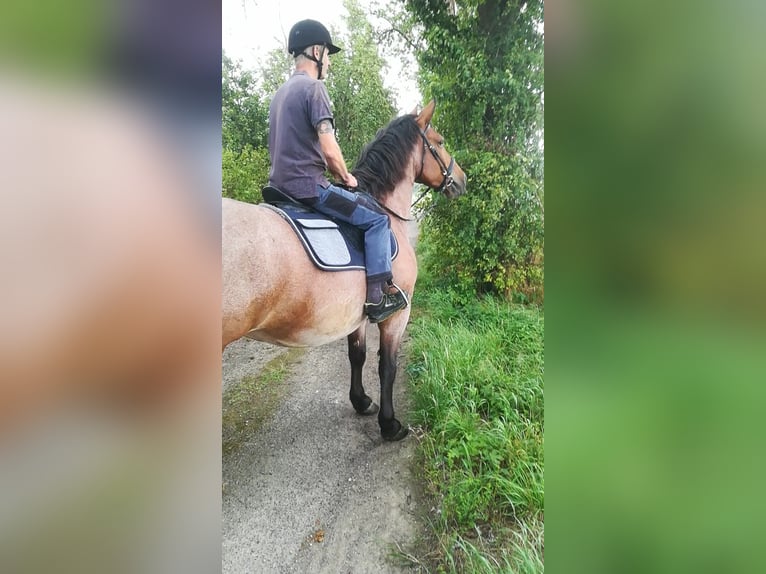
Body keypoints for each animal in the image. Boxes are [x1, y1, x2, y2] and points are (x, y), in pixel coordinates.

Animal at [222, 100, 467, 441]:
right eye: (440, 142)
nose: (462, 180)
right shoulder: (397, 314)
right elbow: (387, 365)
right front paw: (390, 425)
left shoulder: (358, 313)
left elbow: (357, 355)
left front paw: (361, 401)